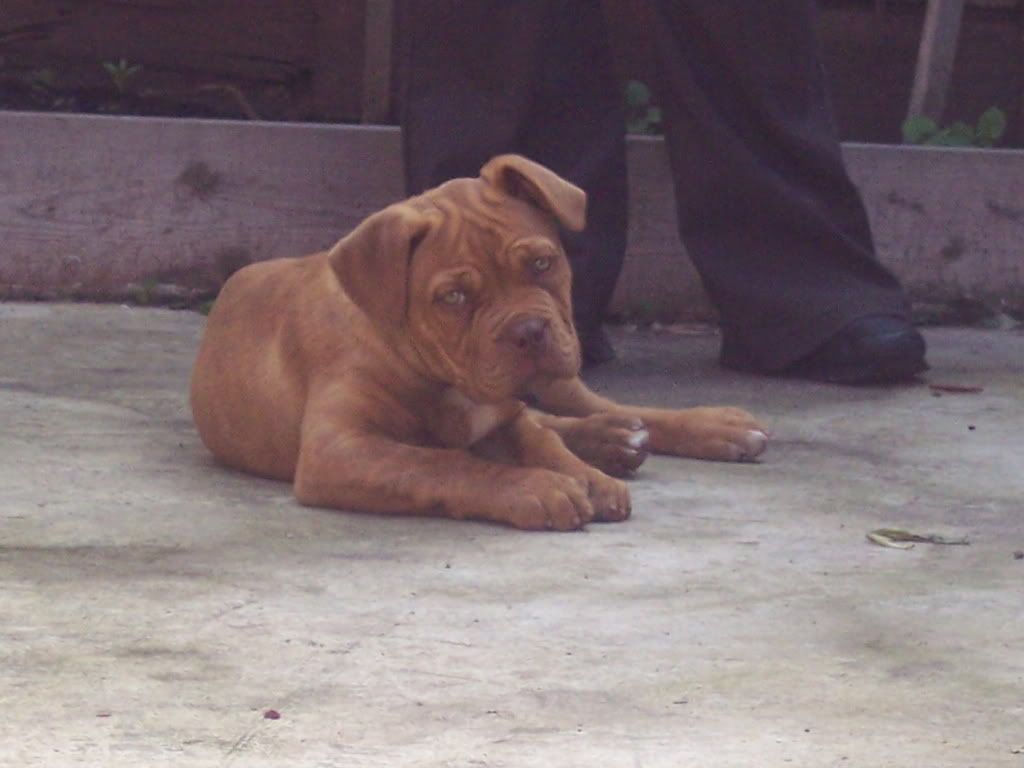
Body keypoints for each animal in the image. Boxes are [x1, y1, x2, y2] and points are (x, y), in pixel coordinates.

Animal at [193, 154, 770, 528]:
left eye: (542, 263)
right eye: (453, 297)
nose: (528, 331)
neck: (439, 375)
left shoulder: (507, 415)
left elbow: (541, 443)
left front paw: (586, 478)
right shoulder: (339, 448)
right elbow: (443, 463)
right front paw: (537, 486)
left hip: (561, 378)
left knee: (594, 410)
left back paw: (702, 428)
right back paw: (615, 442)